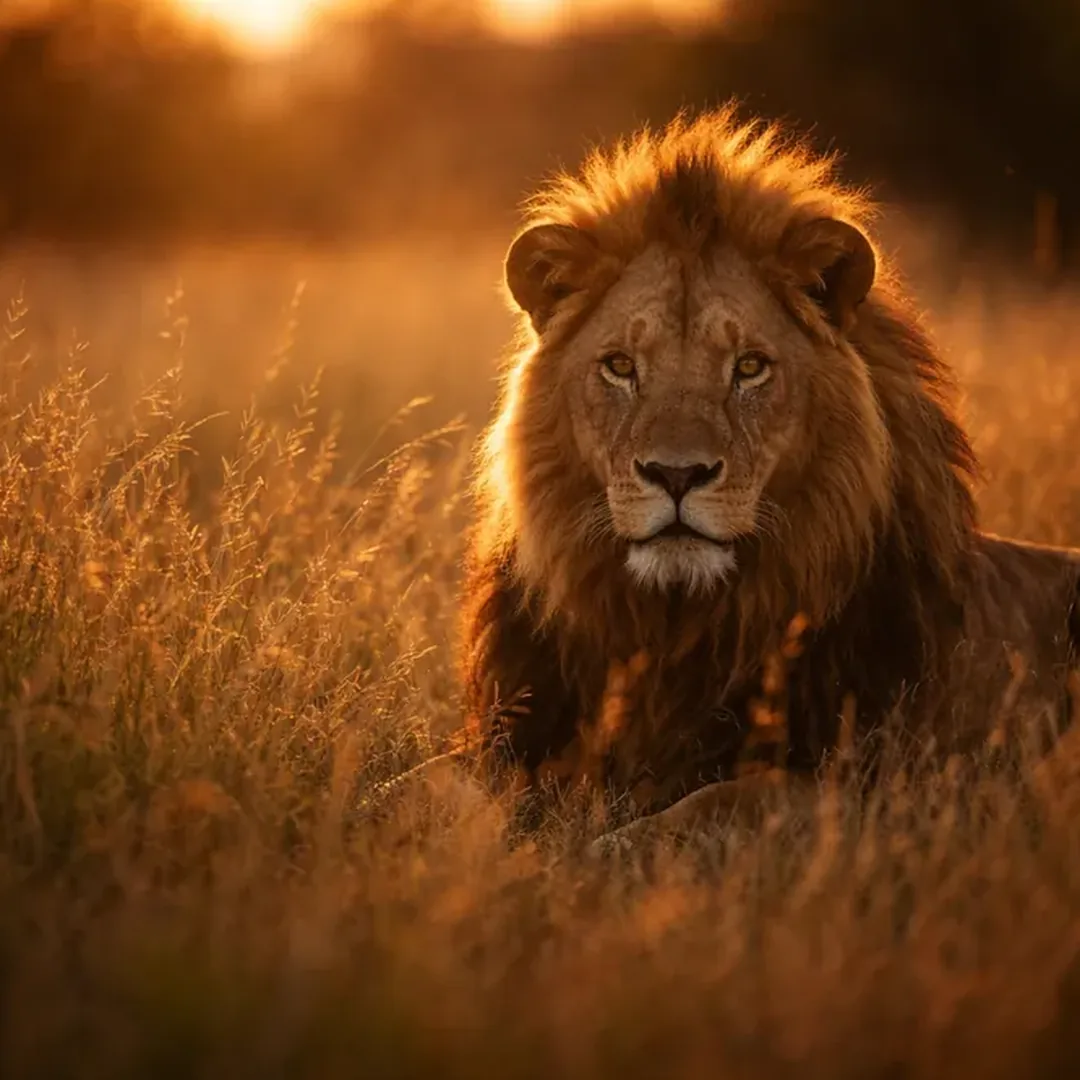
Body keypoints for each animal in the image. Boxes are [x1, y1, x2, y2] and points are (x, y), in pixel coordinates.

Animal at [453, 106, 1080, 848]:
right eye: (620, 367)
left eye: (749, 367)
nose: (676, 474)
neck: (677, 631)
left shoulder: (894, 793)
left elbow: (719, 802)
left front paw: (590, 853)